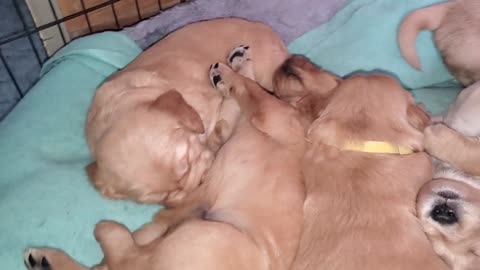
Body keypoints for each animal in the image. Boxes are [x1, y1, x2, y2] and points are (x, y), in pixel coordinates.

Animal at [25, 49, 342, 270]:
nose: (292, 58)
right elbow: (242, 94)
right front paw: (239, 65)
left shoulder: (270, 115)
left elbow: (247, 91)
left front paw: (228, 74)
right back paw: (45, 258)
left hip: (210, 234)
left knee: (123, 257)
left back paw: (103, 233)